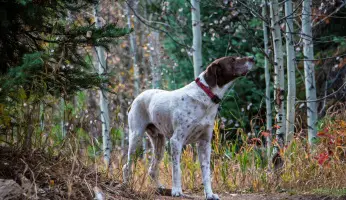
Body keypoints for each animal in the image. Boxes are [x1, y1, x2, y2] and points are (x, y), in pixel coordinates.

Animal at [122, 55, 254, 198]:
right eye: (232, 60)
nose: (252, 58)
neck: (206, 97)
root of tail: (135, 99)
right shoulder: (176, 140)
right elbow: (176, 169)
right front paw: (177, 191)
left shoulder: (204, 143)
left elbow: (206, 172)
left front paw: (209, 194)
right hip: (136, 137)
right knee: (127, 166)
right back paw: (126, 186)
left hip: (159, 142)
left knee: (152, 169)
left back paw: (160, 189)